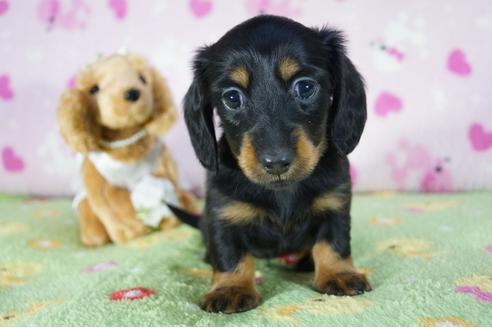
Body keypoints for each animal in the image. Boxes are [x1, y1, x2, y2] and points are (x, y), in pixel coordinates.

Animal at [183, 14, 370, 312]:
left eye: (305, 87)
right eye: (232, 97)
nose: (277, 162)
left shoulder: (336, 202)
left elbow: (333, 242)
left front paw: (338, 273)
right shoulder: (223, 213)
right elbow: (231, 254)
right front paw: (231, 288)